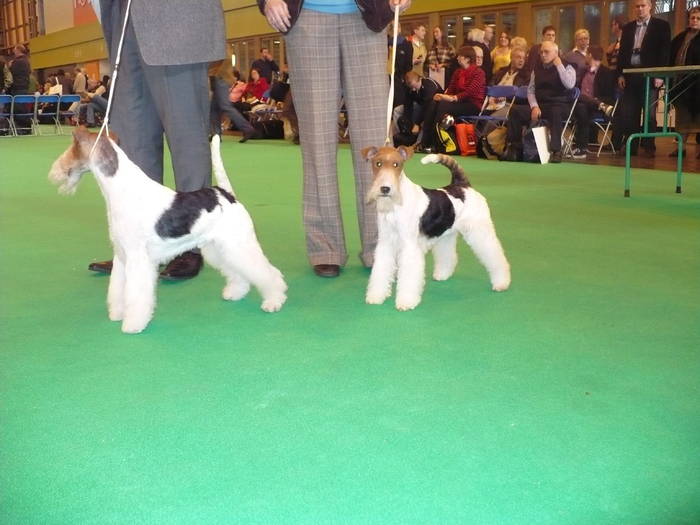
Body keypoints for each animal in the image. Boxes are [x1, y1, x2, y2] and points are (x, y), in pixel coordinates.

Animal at [48, 128, 288, 332]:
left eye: (71, 148)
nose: (53, 173)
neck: (121, 189)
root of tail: (225, 194)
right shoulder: (122, 255)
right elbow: (117, 288)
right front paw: (117, 313)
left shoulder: (137, 259)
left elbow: (136, 294)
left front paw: (132, 324)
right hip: (219, 248)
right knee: (239, 272)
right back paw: (235, 292)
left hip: (238, 244)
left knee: (268, 273)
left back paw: (274, 301)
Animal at [360, 145, 508, 310]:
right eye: (378, 163)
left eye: (396, 164)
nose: (385, 189)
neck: (395, 205)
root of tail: (463, 185)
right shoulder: (386, 243)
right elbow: (381, 271)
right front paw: (375, 296)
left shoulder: (409, 246)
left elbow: (408, 275)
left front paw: (406, 301)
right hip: (447, 234)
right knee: (448, 255)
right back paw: (442, 274)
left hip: (480, 230)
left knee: (495, 256)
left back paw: (501, 282)